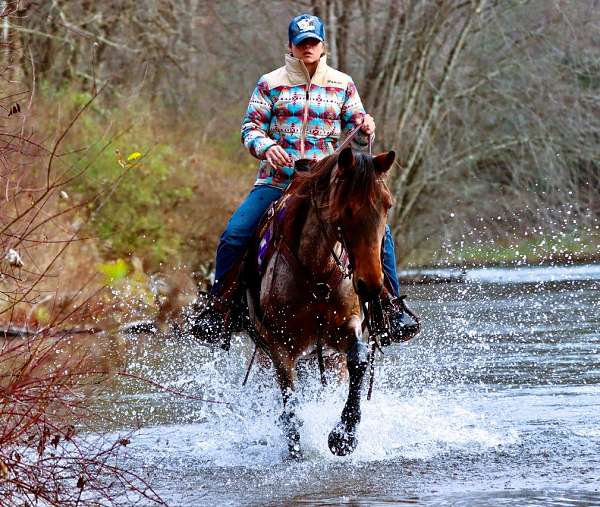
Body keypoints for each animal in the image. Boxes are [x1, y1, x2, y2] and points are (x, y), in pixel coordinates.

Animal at [244, 147, 394, 460]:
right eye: (346, 209)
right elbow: (289, 398)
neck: (318, 272)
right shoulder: (280, 345)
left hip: (330, 362)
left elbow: (359, 360)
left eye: (387, 205)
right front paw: (295, 448)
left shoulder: (345, 329)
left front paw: (344, 436)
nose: (371, 284)